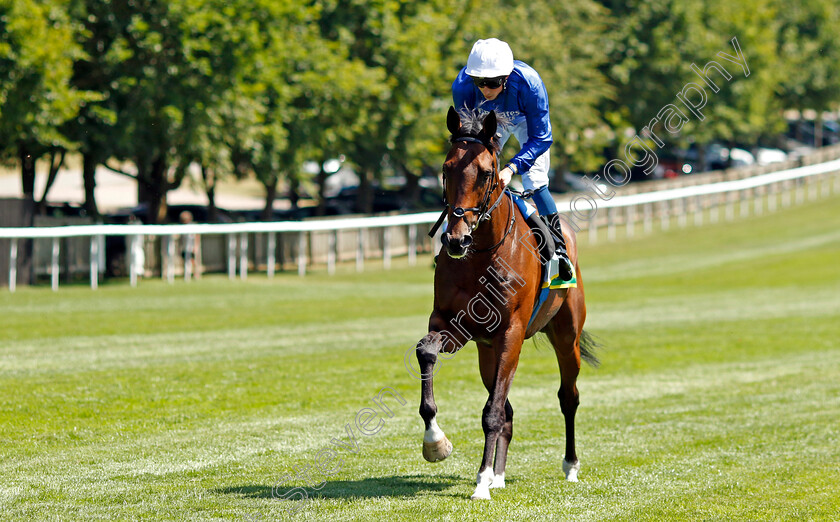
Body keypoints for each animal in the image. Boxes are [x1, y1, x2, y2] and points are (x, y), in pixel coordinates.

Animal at [414, 106, 596, 500]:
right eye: (445, 168)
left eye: (485, 172)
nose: (456, 239)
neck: (480, 255)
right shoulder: (452, 325)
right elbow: (426, 352)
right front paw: (436, 442)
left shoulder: (511, 333)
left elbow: (492, 412)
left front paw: (481, 481)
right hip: (486, 351)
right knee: (509, 408)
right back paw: (499, 474)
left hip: (565, 336)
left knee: (568, 396)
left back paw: (570, 466)